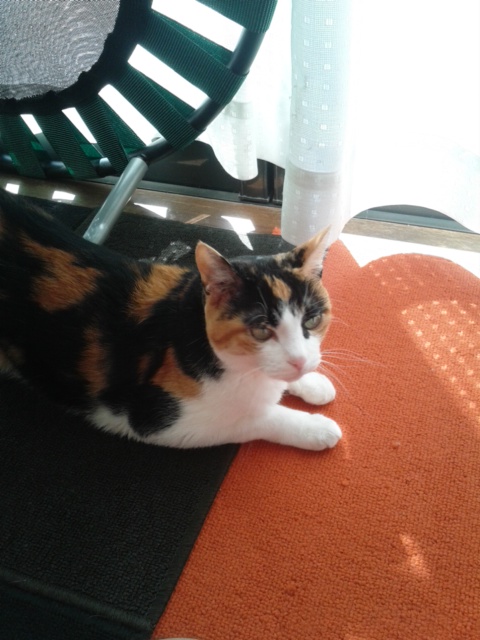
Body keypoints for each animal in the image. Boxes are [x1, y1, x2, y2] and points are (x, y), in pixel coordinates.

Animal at [0, 189, 341, 450]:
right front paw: (317, 429)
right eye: (260, 329)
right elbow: (253, 418)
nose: (299, 361)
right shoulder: (157, 420)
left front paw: (313, 382)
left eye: (312, 321)